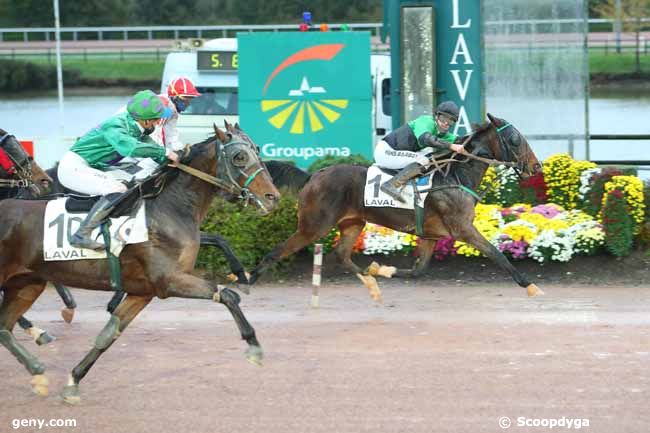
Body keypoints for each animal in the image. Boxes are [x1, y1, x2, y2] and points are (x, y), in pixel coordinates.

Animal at [0, 123, 278, 404]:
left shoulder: (142, 292)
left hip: (27, 284)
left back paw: (38, 370)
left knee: (3, 328)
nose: (273, 197)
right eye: (239, 157)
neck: (167, 209)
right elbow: (228, 296)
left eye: (257, 150)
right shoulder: (169, 281)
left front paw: (73, 382)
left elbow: (108, 335)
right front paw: (254, 347)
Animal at [251, 113, 544, 296]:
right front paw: (529, 284)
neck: (455, 175)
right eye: (515, 139)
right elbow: (496, 254)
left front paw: (383, 269)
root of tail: (313, 176)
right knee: (275, 253)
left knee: (342, 254)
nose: (536, 166)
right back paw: (247, 281)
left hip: (352, 223)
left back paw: (371, 280)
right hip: (313, 226)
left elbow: (417, 270)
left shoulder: (431, 235)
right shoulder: (463, 229)